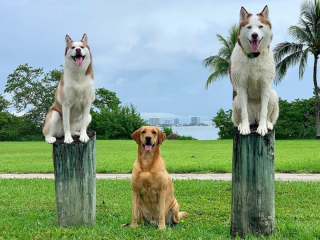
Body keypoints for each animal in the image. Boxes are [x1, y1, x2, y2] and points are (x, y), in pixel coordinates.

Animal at [230, 5, 278, 136]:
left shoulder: (265, 85)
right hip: (236, 100)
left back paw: (267, 124)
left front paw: (262, 128)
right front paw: (245, 128)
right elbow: (244, 113)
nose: (255, 35)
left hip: (273, 94)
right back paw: (242, 125)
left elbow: (264, 111)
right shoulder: (241, 86)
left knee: (267, 115)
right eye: (249, 27)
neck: (253, 56)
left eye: (260, 26)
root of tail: (255, 119)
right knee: (241, 117)